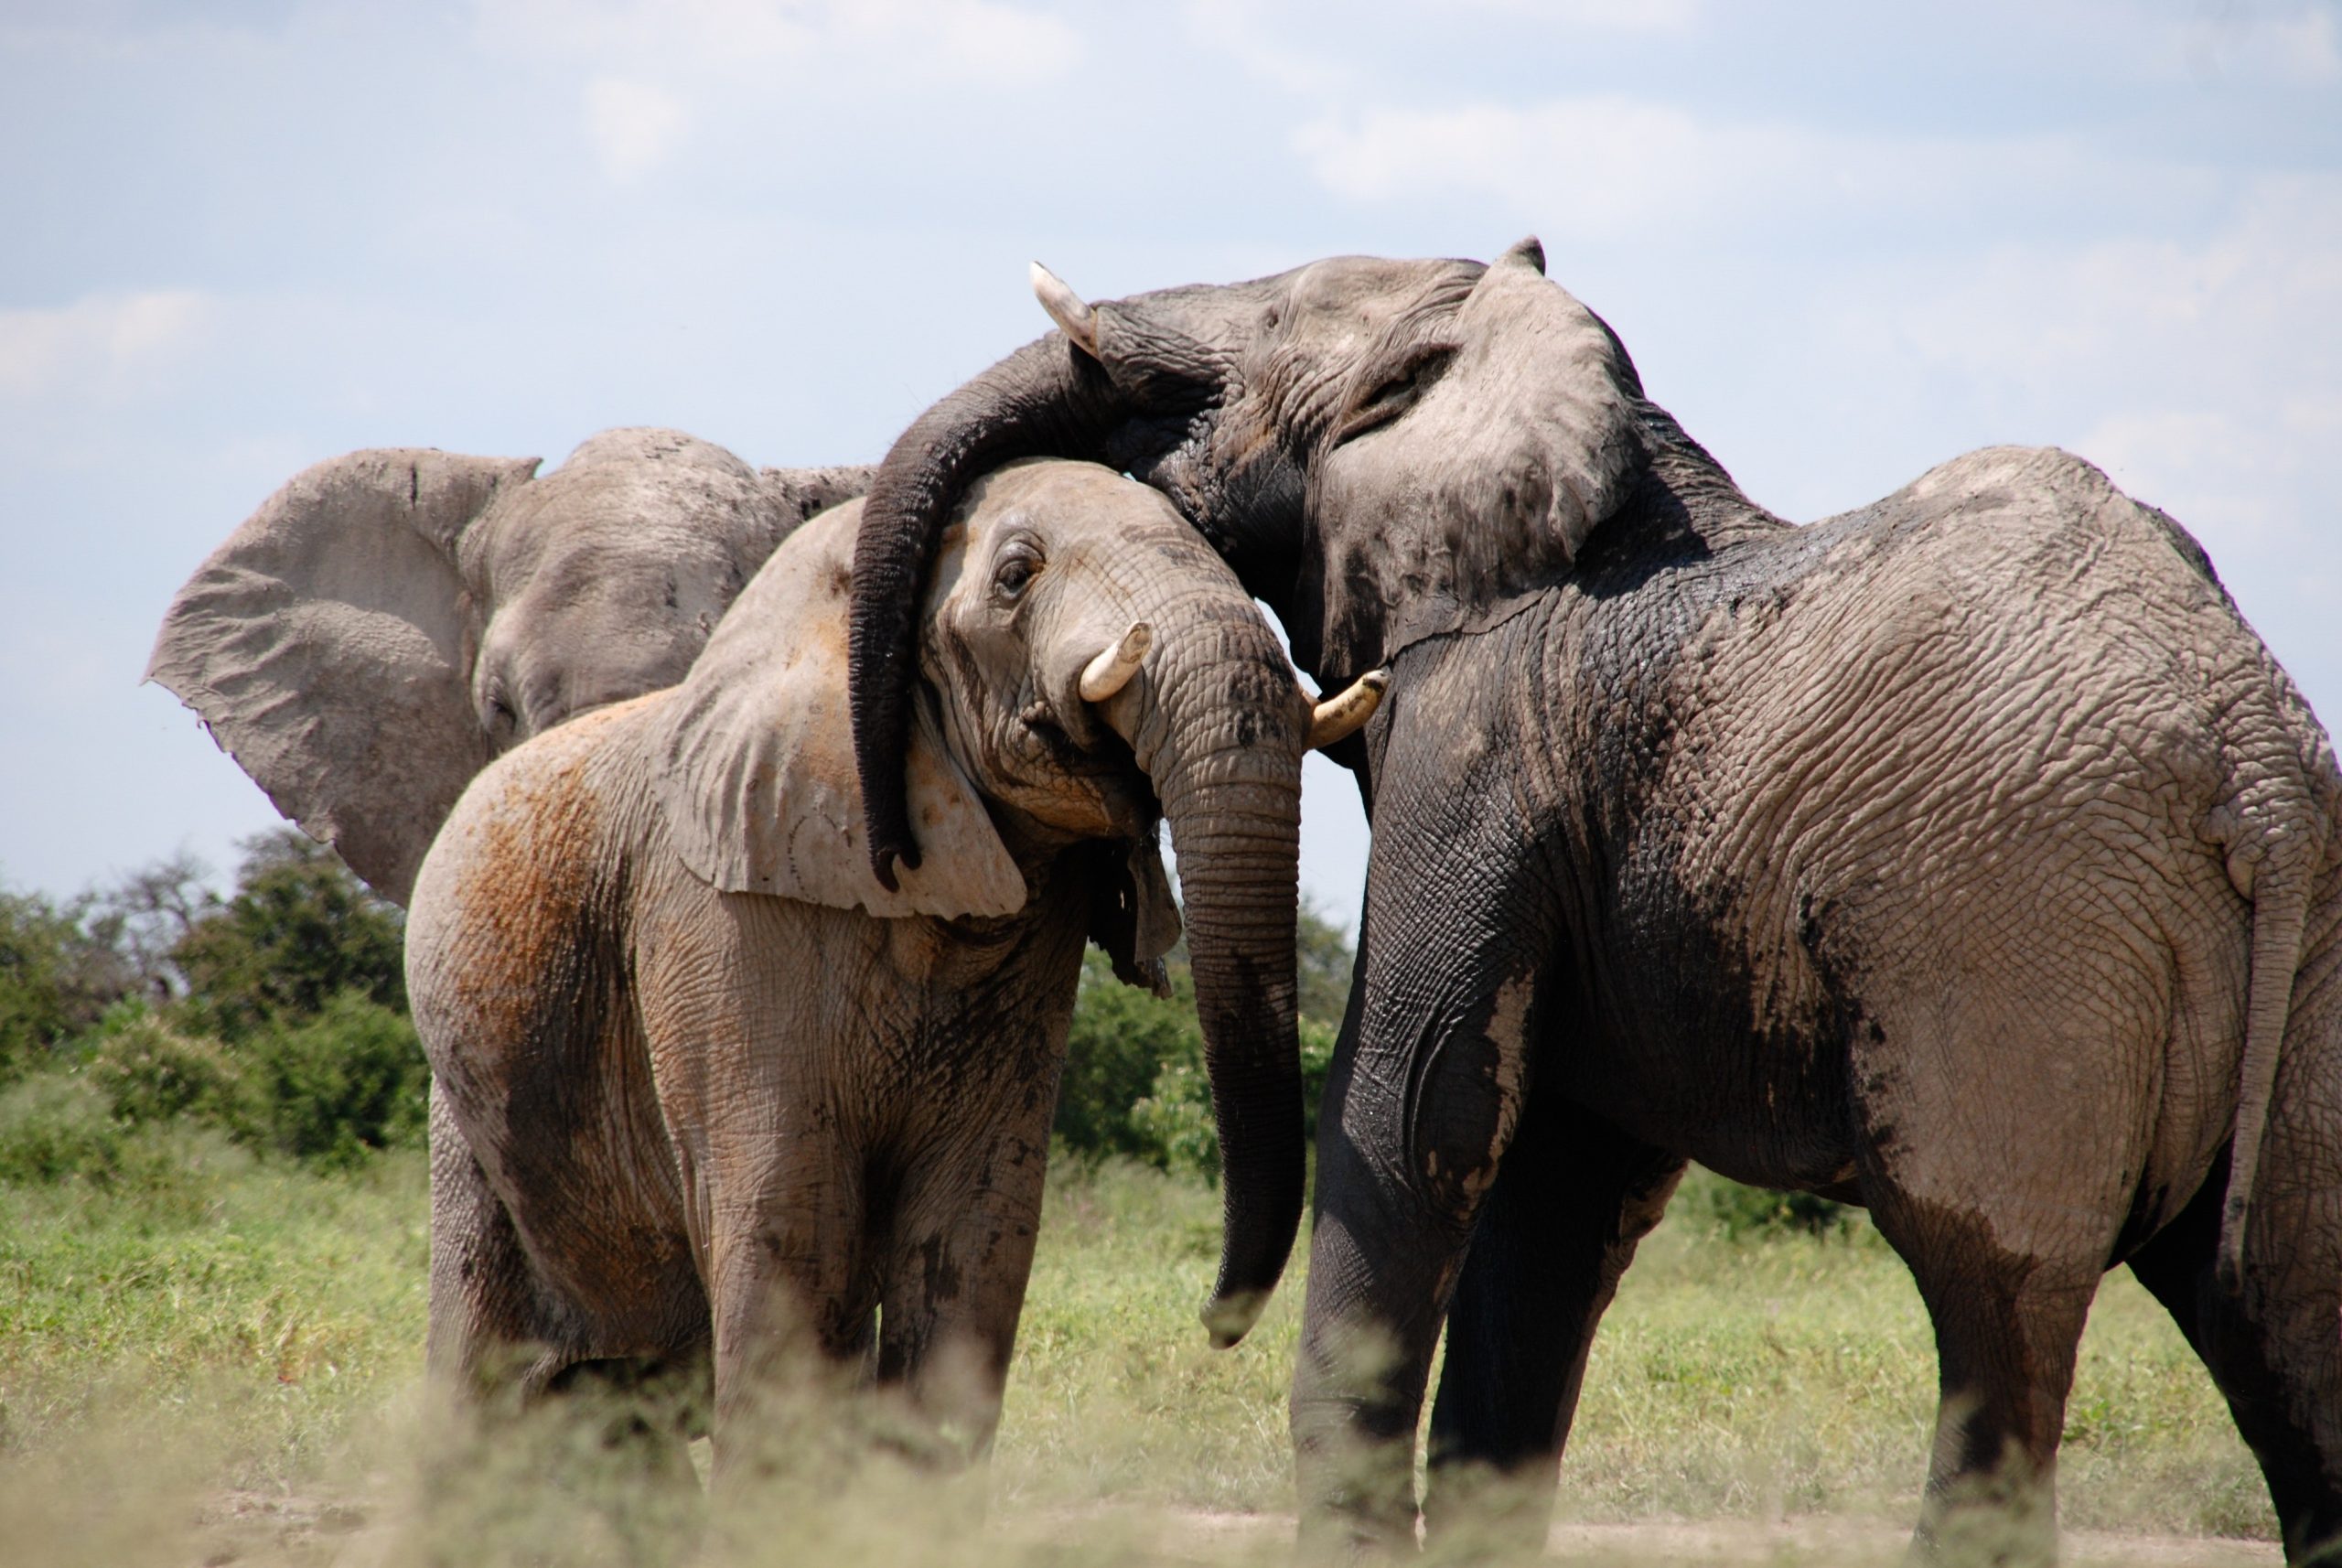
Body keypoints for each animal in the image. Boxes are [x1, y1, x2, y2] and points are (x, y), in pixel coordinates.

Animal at [404, 458, 1383, 1473]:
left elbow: (977, 1227)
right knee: (483, 1374)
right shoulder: (720, 921)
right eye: (1016, 575)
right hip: (468, 1111)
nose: (1212, 1322)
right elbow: (790, 1221)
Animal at [837, 240, 2342, 1561]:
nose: (894, 849)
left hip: (2017, 934)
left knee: (1994, 1312)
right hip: (2305, 954)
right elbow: (1556, 1184)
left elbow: (1416, 1106)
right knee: (2279, 1318)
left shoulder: (1480, 732)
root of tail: (2251, 756)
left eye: (1259, 330)